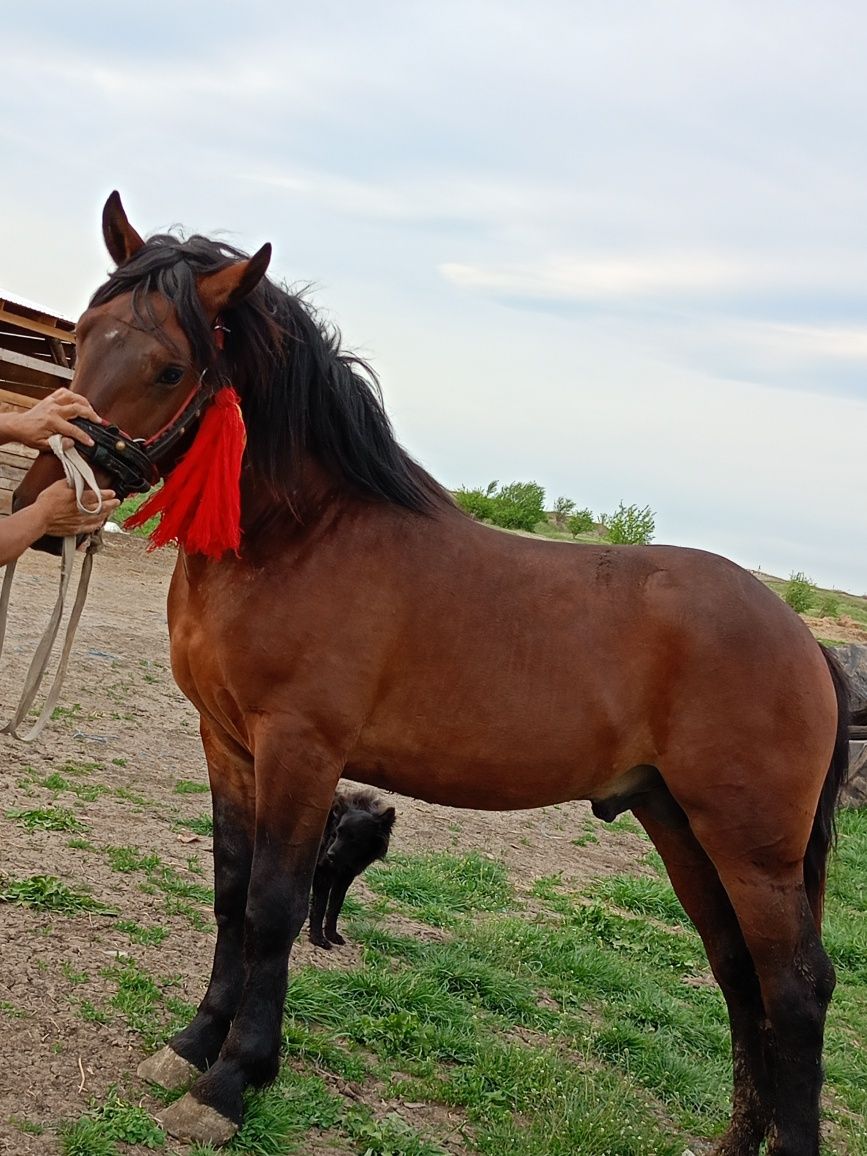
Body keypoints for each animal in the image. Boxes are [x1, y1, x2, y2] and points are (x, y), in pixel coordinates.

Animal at [309, 786, 397, 947]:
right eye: (337, 832)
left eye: (354, 839)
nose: (329, 855)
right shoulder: (323, 874)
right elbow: (320, 907)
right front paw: (317, 938)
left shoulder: (344, 878)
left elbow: (335, 907)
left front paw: (331, 935)